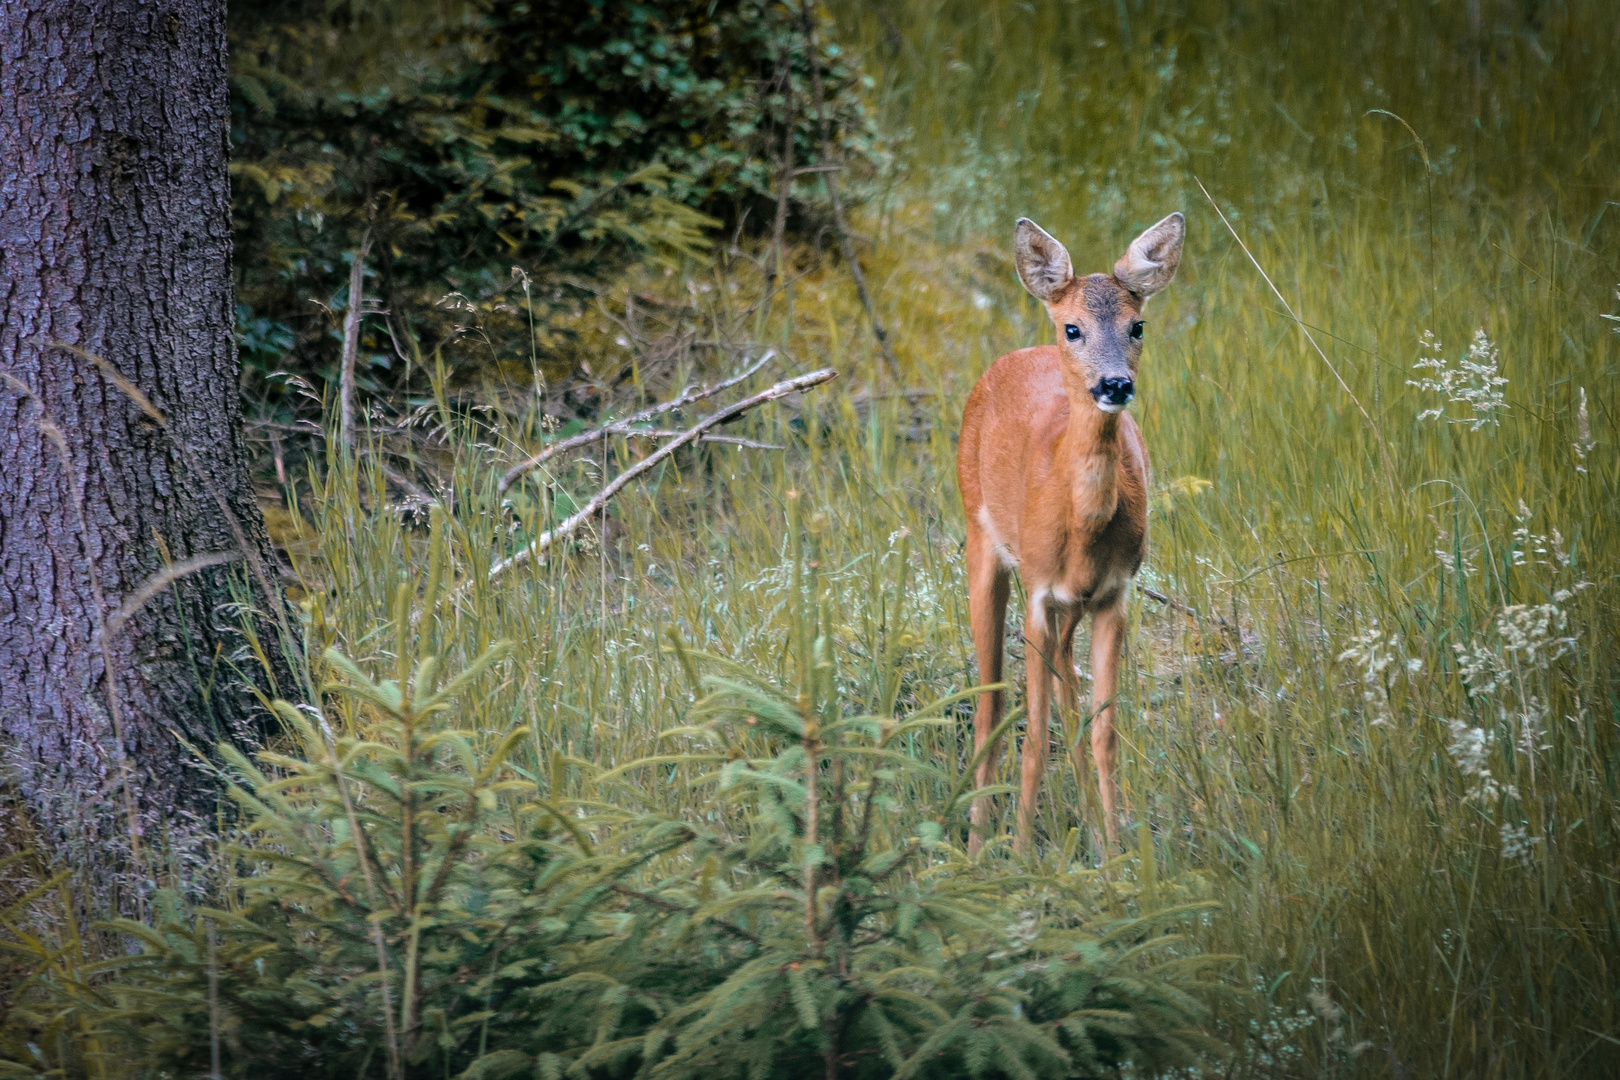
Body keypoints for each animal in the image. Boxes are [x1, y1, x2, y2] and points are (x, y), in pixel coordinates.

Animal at [952, 213, 1185, 854]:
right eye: (1073, 327)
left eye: (1138, 324)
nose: (1114, 385)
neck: (1081, 526)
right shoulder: (1037, 592)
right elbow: (1032, 735)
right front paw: (1021, 854)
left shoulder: (1113, 594)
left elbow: (1105, 730)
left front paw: (1115, 854)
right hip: (979, 538)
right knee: (991, 701)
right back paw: (977, 845)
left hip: (1070, 608)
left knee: (1064, 685)